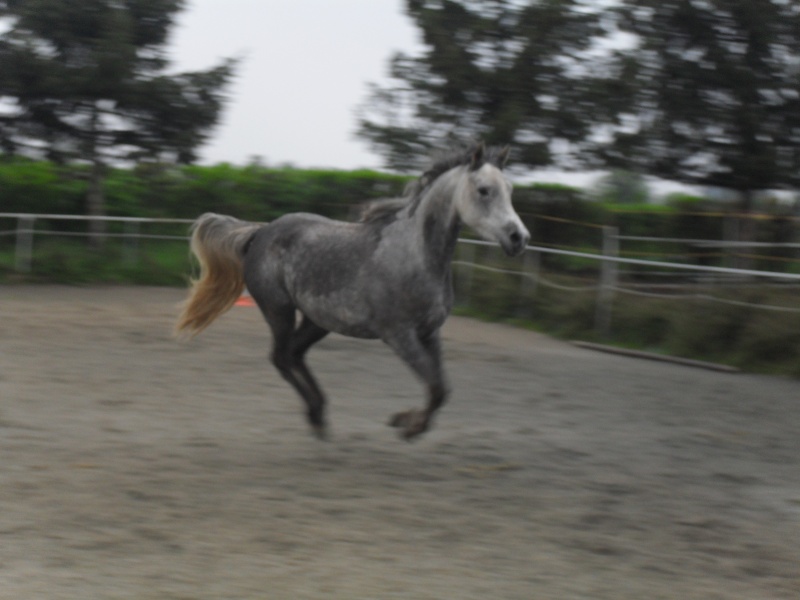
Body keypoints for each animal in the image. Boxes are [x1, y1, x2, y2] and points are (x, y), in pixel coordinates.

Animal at [178, 143, 536, 438]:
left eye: (510, 189)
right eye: (484, 190)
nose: (519, 238)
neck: (416, 254)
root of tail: (261, 232)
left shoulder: (429, 333)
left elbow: (441, 389)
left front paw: (406, 422)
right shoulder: (399, 335)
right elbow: (434, 386)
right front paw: (407, 426)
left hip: (317, 320)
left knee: (294, 354)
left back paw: (320, 412)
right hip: (278, 310)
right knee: (280, 357)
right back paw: (316, 416)